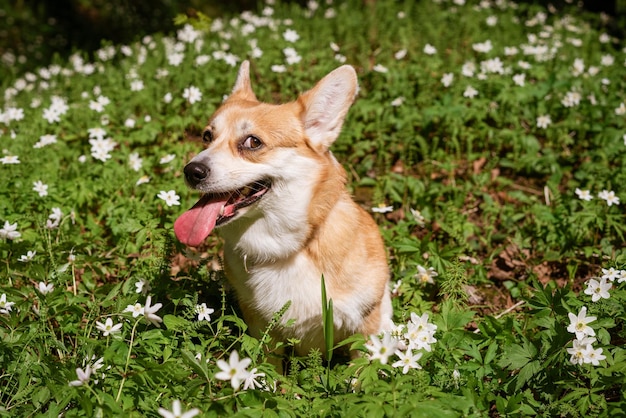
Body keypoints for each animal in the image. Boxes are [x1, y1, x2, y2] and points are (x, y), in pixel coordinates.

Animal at [173, 60, 390, 358]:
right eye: (207, 136)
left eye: (253, 142)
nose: (191, 171)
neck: (288, 249)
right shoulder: (262, 329)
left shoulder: (365, 327)